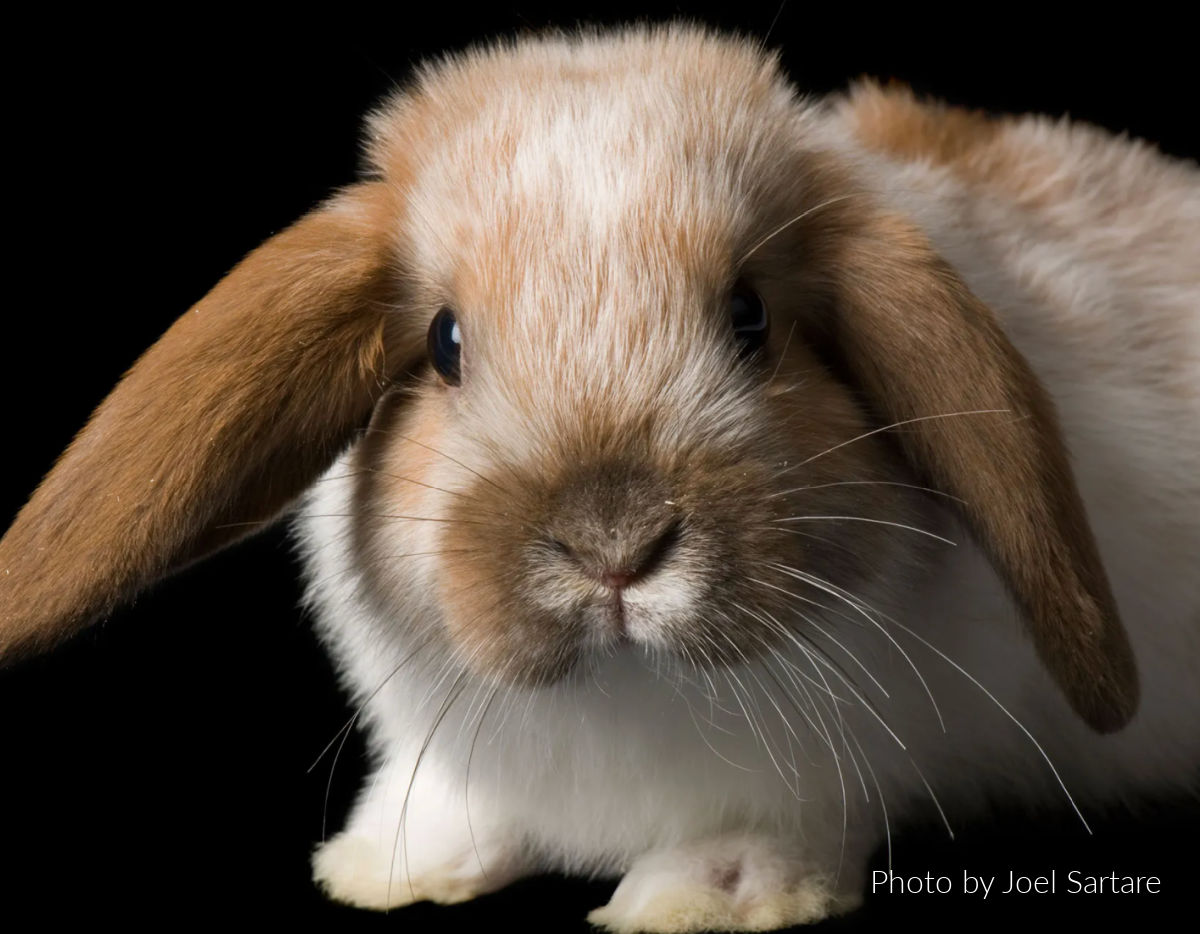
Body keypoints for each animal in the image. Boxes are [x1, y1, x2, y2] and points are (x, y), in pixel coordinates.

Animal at [2, 23, 1198, 933]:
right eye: (443, 343)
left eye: (751, 318)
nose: (613, 542)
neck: (621, 704)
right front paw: (388, 869)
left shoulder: (815, 778)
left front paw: (700, 900)